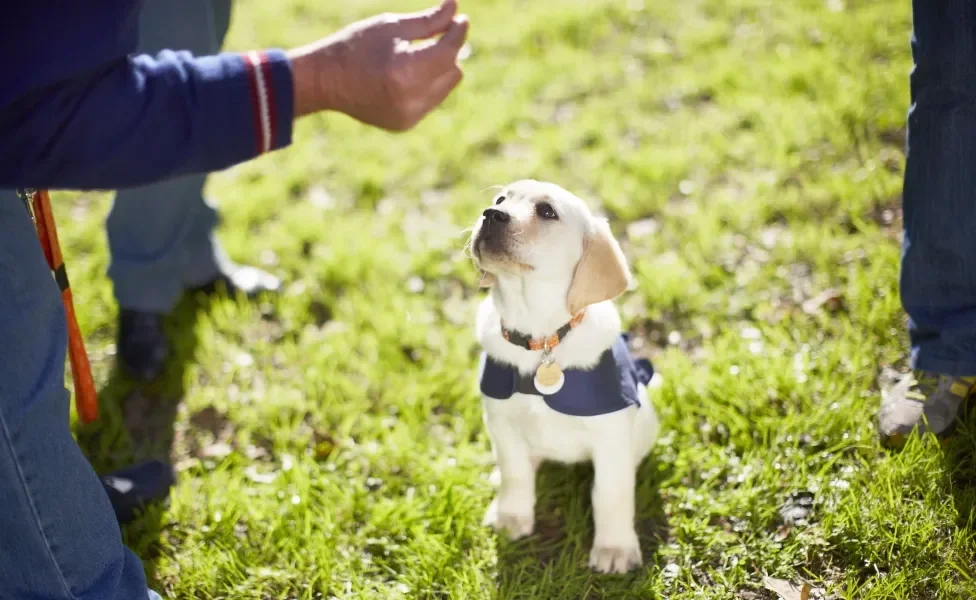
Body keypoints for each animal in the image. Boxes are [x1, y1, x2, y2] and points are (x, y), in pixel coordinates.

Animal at [468, 180, 660, 576]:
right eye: (501, 199)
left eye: (547, 212)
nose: (490, 214)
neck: (539, 337)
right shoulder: (502, 421)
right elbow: (516, 472)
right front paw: (512, 516)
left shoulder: (610, 435)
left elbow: (611, 493)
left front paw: (614, 548)